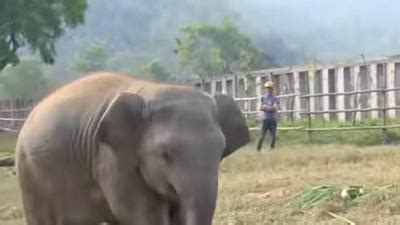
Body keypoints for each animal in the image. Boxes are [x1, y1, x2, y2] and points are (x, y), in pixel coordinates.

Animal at [15, 72, 250, 225]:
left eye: (220, 153)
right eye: (165, 155)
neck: (152, 90)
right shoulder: (111, 160)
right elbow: (144, 216)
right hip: (30, 176)